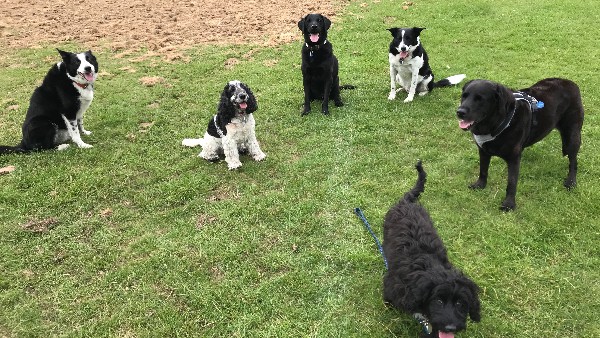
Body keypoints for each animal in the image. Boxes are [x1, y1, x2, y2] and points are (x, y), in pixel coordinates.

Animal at [384, 161, 482, 338]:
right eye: (438, 301)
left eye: (460, 303)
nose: (451, 328)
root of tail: (407, 201)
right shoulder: (394, 285)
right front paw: (388, 304)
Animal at [458, 78, 584, 211]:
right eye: (464, 96)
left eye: (480, 99)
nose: (459, 112)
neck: (496, 124)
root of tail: (571, 83)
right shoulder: (483, 151)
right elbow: (483, 170)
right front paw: (480, 185)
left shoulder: (513, 158)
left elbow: (511, 182)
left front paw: (509, 204)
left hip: (572, 136)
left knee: (573, 161)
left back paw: (571, 182)